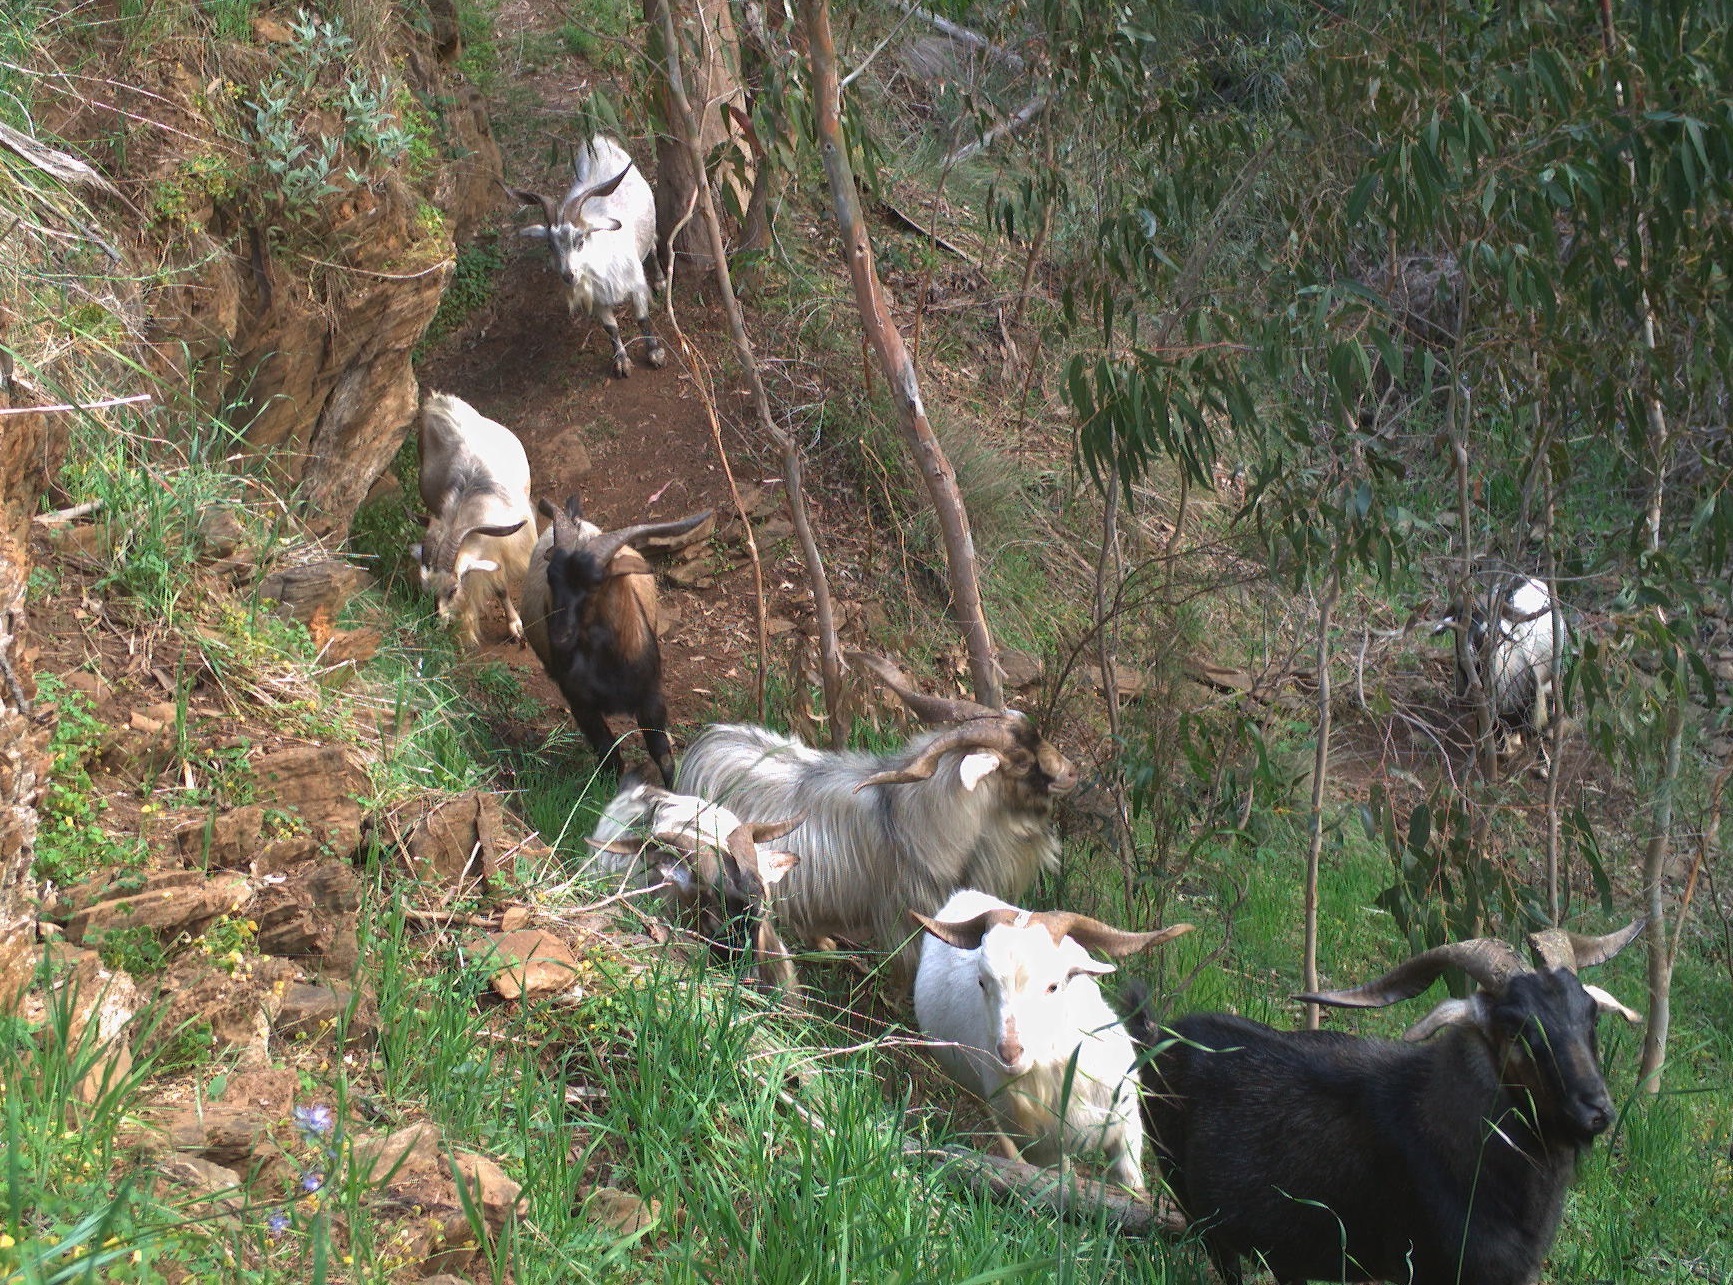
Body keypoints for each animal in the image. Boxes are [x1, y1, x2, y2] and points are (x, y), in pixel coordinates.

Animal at [412, 392, 536, 649]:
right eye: (426, 589)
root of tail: (437, 400)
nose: (439, 625)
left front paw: (516, 626)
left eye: (453, 589)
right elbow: (499, 586)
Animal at [505, 135, 666, 378]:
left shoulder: (636, 284)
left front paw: (655, 353)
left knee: (654, 245)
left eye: (580, 241)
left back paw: (660, 280)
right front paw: (621, 362)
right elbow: (611, 328)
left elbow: (642, 318)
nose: (568, 276)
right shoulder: (596, 297)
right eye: (550, 245)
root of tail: (599, 141)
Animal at [519, 494, 712, 785]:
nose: (560, 636)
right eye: (551, 575)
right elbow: (608, 753)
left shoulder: (650, 696)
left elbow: (662, 752)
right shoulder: (580, 703)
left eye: (597, 581)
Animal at [912, 890, 1192, 1191]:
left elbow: (1133, 1187)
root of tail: (964, 894)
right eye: (982, 982)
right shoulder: (1043, 1148)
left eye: (1054, 985)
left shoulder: (1126, 1127)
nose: (1010, 1053)